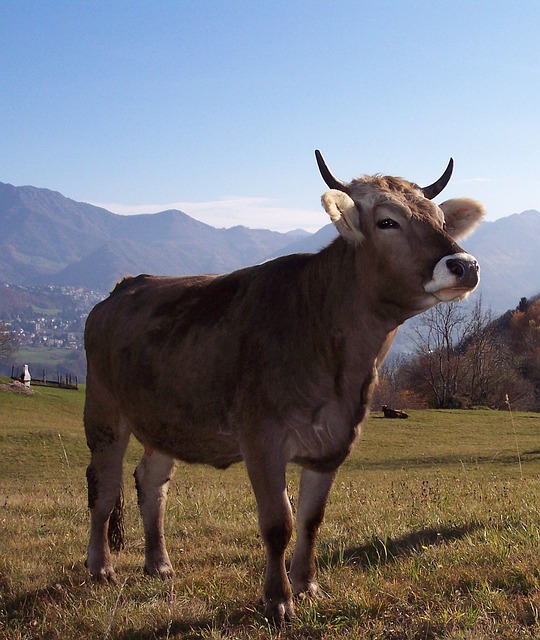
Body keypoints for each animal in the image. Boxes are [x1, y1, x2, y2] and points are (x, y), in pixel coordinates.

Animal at [83, 152, 486, 624]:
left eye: (440, 219)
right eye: (387, 222)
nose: (465, 265)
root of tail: (125, 285)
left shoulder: (334, 442)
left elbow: (312, 518)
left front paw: (307, 585)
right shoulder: (262, 440)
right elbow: (279, 523)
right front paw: (277, 600)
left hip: (164, 418)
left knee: (151, 482)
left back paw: (159, 563)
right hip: (104, 411)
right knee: (103, 486)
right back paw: (100, 567)